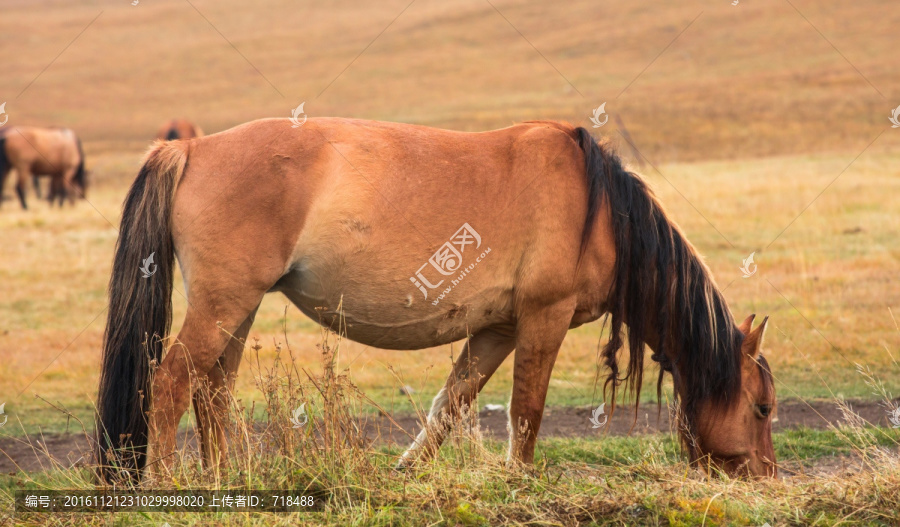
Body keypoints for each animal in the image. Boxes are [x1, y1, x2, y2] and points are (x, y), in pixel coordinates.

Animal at [95, 117, 776, 484]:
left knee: (212, 392)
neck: (599, 209)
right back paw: (170, 484)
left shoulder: (499, 329)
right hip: (223, 306)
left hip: (238, 309)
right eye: (763, 408)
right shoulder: (543, 319)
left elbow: (450, 405)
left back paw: (224, 479)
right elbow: (527, 410)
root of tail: (192, 149)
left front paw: (408, 472)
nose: (767, 475)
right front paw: (519, 481)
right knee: (171, 384)